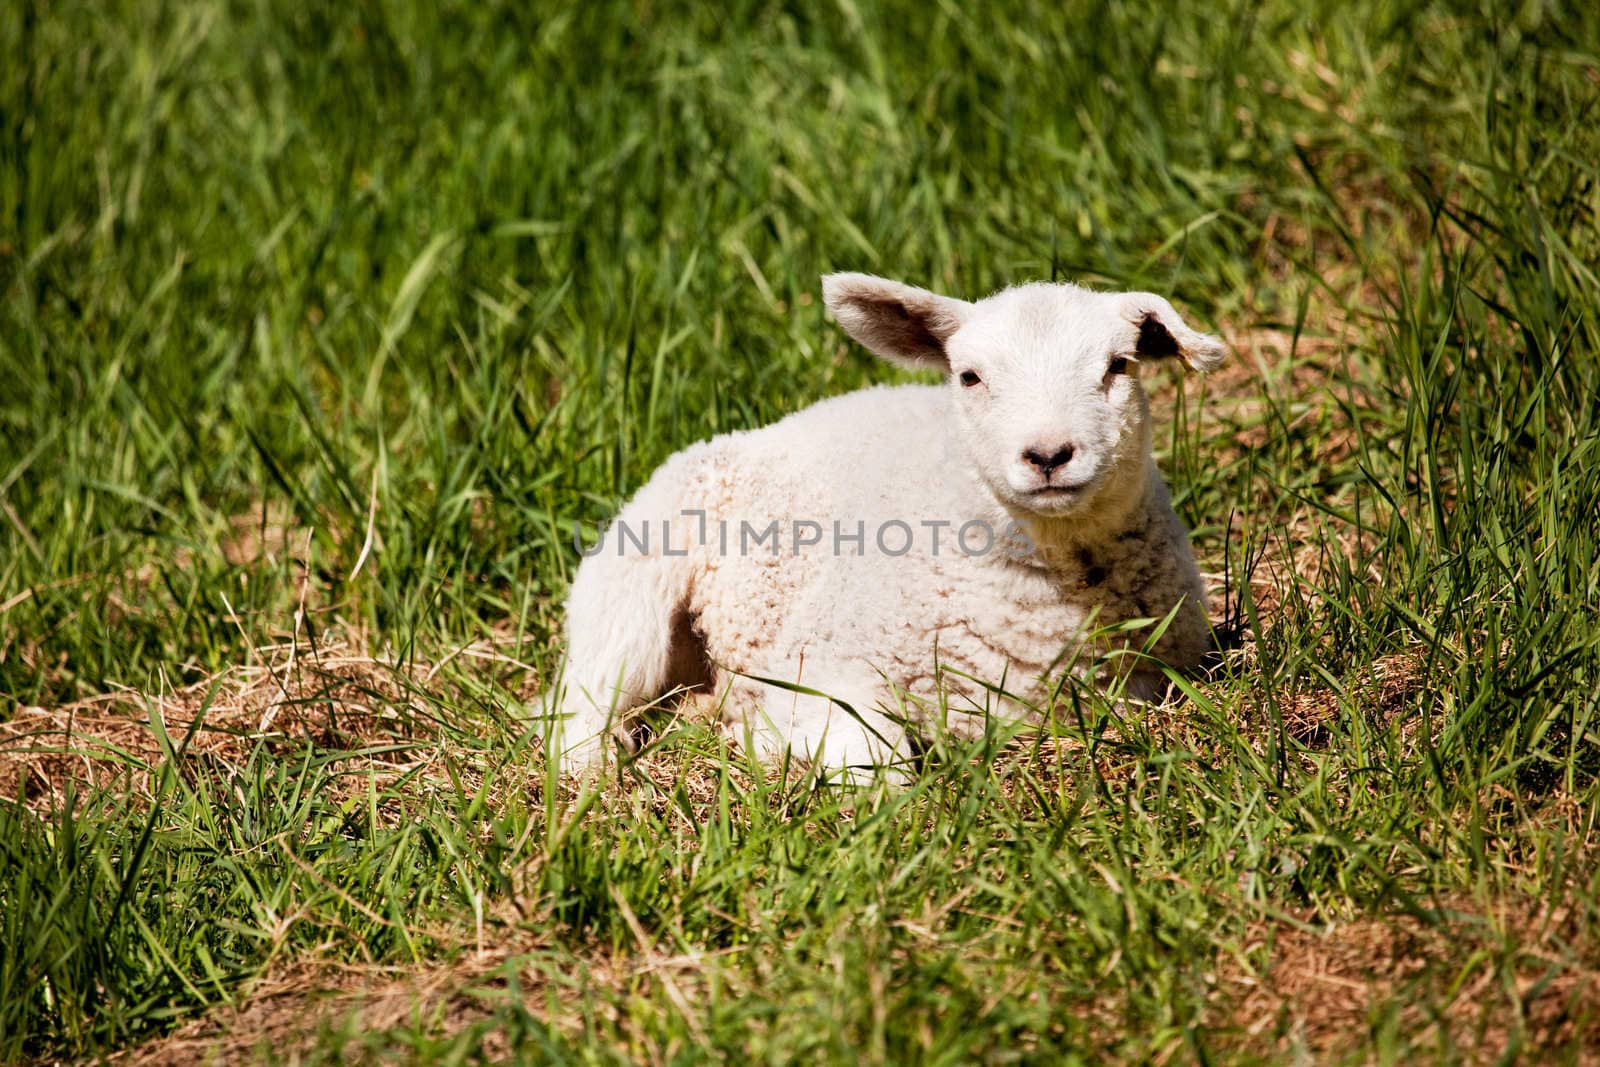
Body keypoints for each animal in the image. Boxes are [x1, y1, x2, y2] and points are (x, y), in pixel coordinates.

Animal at [537, 273, 1222, 777]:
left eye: (1119, 366)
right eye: (970, 376)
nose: (1049, 455)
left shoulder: (1150, 677)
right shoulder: (820, 664)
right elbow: (873, 765)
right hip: (632, 586)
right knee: (580, 707)